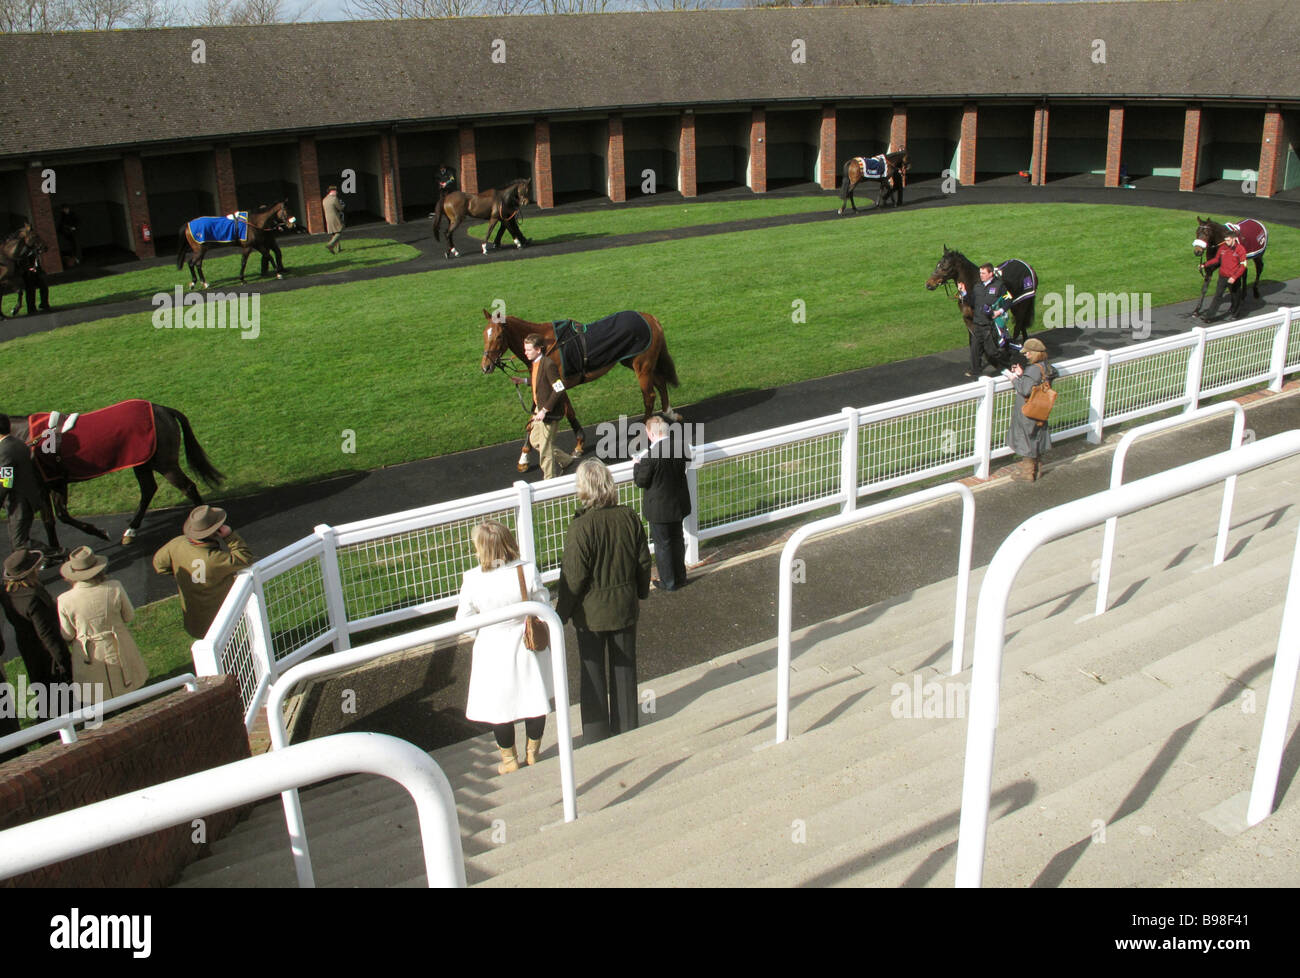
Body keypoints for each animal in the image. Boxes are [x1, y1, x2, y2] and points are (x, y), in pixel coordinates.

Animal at [5, 397, 226, 551]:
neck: (26, 439)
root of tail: (164, 410)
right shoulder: (48, 484)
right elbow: (52, 519)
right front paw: (55, 552)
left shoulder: (53, 482)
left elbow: (59, 516)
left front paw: (100, 534)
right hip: (142, 461)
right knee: (148, 489)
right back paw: (131, 530)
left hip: (164, 463)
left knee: (188, 487)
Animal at [478, 306, 681, 470]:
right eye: (484, 334)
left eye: (498, 336)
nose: (486, 366)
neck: (545, 346)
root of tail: (650, 317)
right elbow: (535, 419)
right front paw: (524, 458)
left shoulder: (558, 386)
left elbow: (566, 413)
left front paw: (578, 445)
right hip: (633, 362)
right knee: (660, 383)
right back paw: (669, 412)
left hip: (642, 366)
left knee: (649, 396)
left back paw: (642, 429)